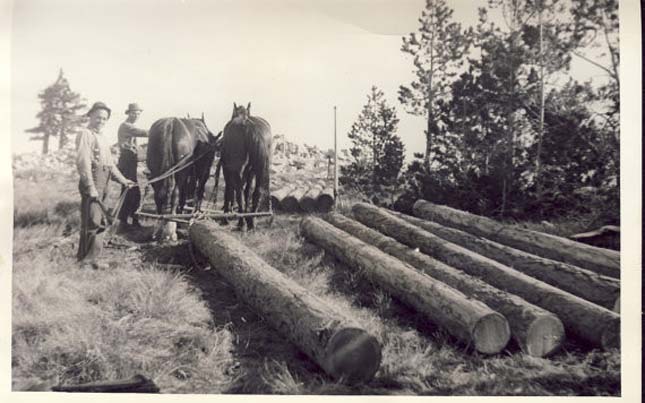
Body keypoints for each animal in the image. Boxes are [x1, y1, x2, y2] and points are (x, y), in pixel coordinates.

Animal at [216, 102, 272, 230]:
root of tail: (248, 126)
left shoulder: (227, 169)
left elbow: (229, 191)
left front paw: (225, 217)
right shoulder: (250, 172)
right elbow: (247, 193)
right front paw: (247, 216)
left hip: (237, 171)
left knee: (238, 192)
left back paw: (241, 223)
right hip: (259, 169)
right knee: (256, 192)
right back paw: (251, 221)